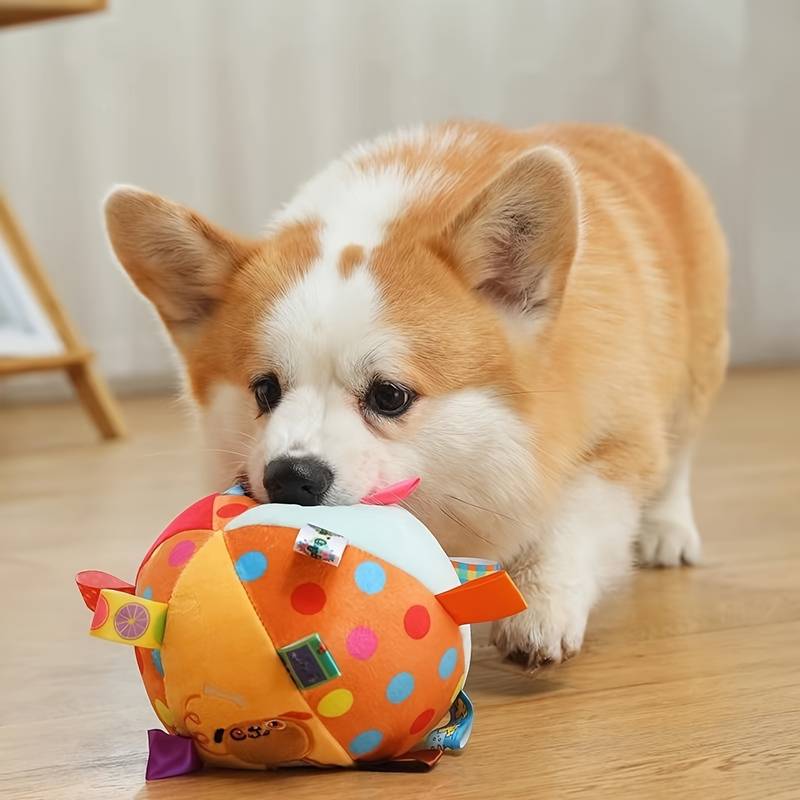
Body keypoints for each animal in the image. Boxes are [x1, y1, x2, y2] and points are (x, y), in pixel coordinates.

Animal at [103, 120, 728, 668]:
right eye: (265, 389)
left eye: (390, 396)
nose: (290, 478)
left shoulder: (618, 443)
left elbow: (569, 527)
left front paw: (539, 609)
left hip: (694, 375)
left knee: (680, 455)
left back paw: (668, 531)